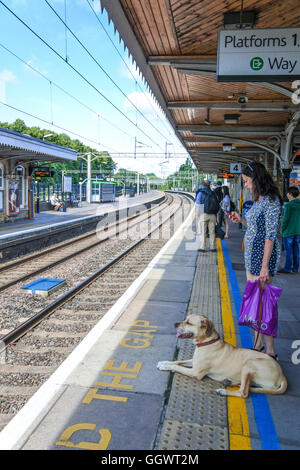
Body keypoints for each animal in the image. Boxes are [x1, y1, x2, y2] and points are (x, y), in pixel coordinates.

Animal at [156, 314, 288, 398]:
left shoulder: (196, 372)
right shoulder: (194, 362)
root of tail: (282, 375)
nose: (174, 324)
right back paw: (229, 382)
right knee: (245, 386)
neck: (207, 341)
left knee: (243, 393)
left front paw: (165, 367)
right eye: (185, 319)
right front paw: (164, 362)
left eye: (188, 322)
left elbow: (178, 367)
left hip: (250, 363)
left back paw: (223, 391)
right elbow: (178, 362)